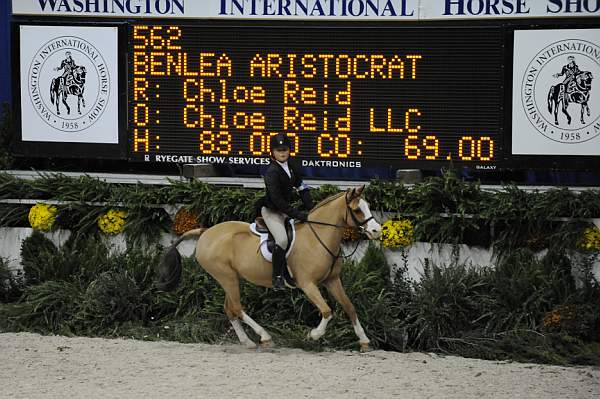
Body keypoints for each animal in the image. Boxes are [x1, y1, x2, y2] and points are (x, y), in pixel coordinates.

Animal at [157, 186, 382, 352]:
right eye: (357, 209)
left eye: (368, 206)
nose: (376, 231)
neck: (317, 235)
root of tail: (205, 232)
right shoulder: (307, 284)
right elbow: (327, 311)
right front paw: (313, 335)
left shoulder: (332, 280)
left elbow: (349, 307)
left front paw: (364, 341)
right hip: (226, 277)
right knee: (237, 307)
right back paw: (264, 336)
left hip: (231, 278)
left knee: (230, 309)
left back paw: (248, 342)